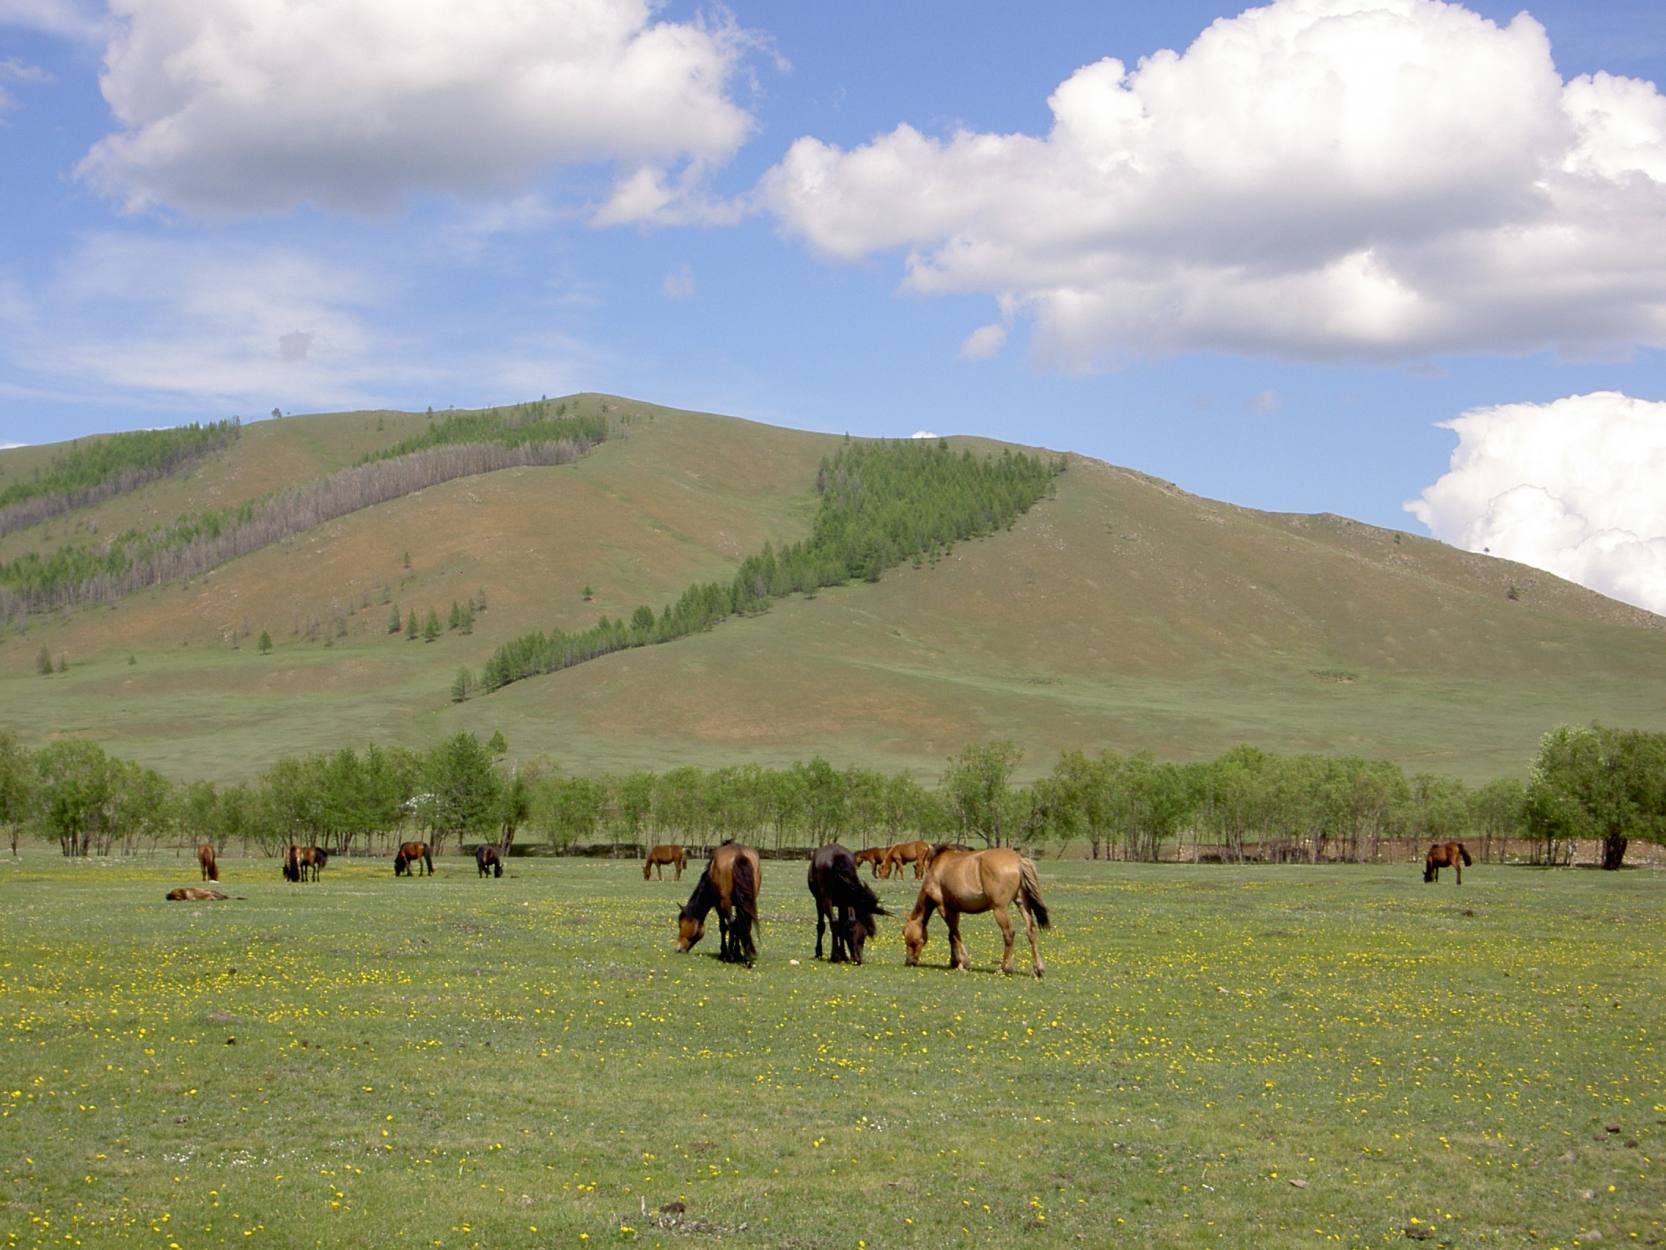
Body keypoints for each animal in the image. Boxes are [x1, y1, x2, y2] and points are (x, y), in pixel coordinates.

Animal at [906, 853, 1046, 980]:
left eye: (904, 933)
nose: (908, 961)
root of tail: (1018, 860)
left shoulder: (943, 908)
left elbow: (954, 934)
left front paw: (962, 962)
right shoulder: (954, 910)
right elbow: (952, 935)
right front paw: (954, 962)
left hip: (1000, 909)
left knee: (1009, 934)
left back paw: (1004, 968)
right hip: (1022, 903)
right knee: (1031, 931)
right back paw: (1037, 969)